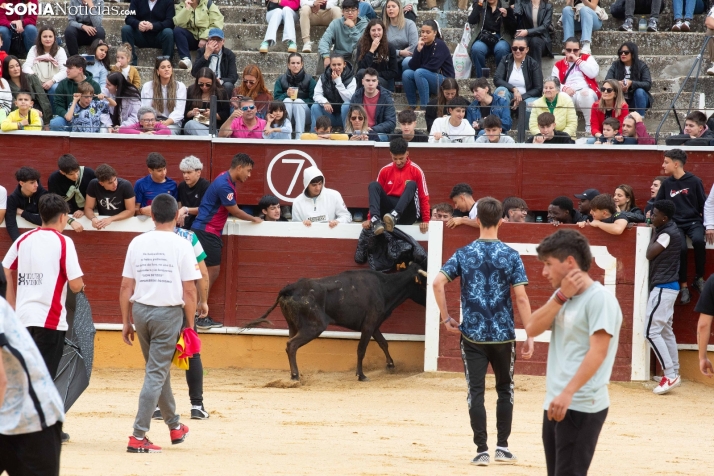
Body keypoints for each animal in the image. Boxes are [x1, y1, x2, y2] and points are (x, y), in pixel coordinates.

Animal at [248, 262, 426, 382]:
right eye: (424, 284)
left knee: (290, 343)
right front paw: (361, 375)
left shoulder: (374, 324)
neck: (384, 287)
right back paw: (295, 376)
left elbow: (383, 343)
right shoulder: (369, 324)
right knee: (291, 345)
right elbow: (361, 349)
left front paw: (390, 365)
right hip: (314, 326)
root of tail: (290, 287)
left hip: (292, 325)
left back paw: (294, 374)